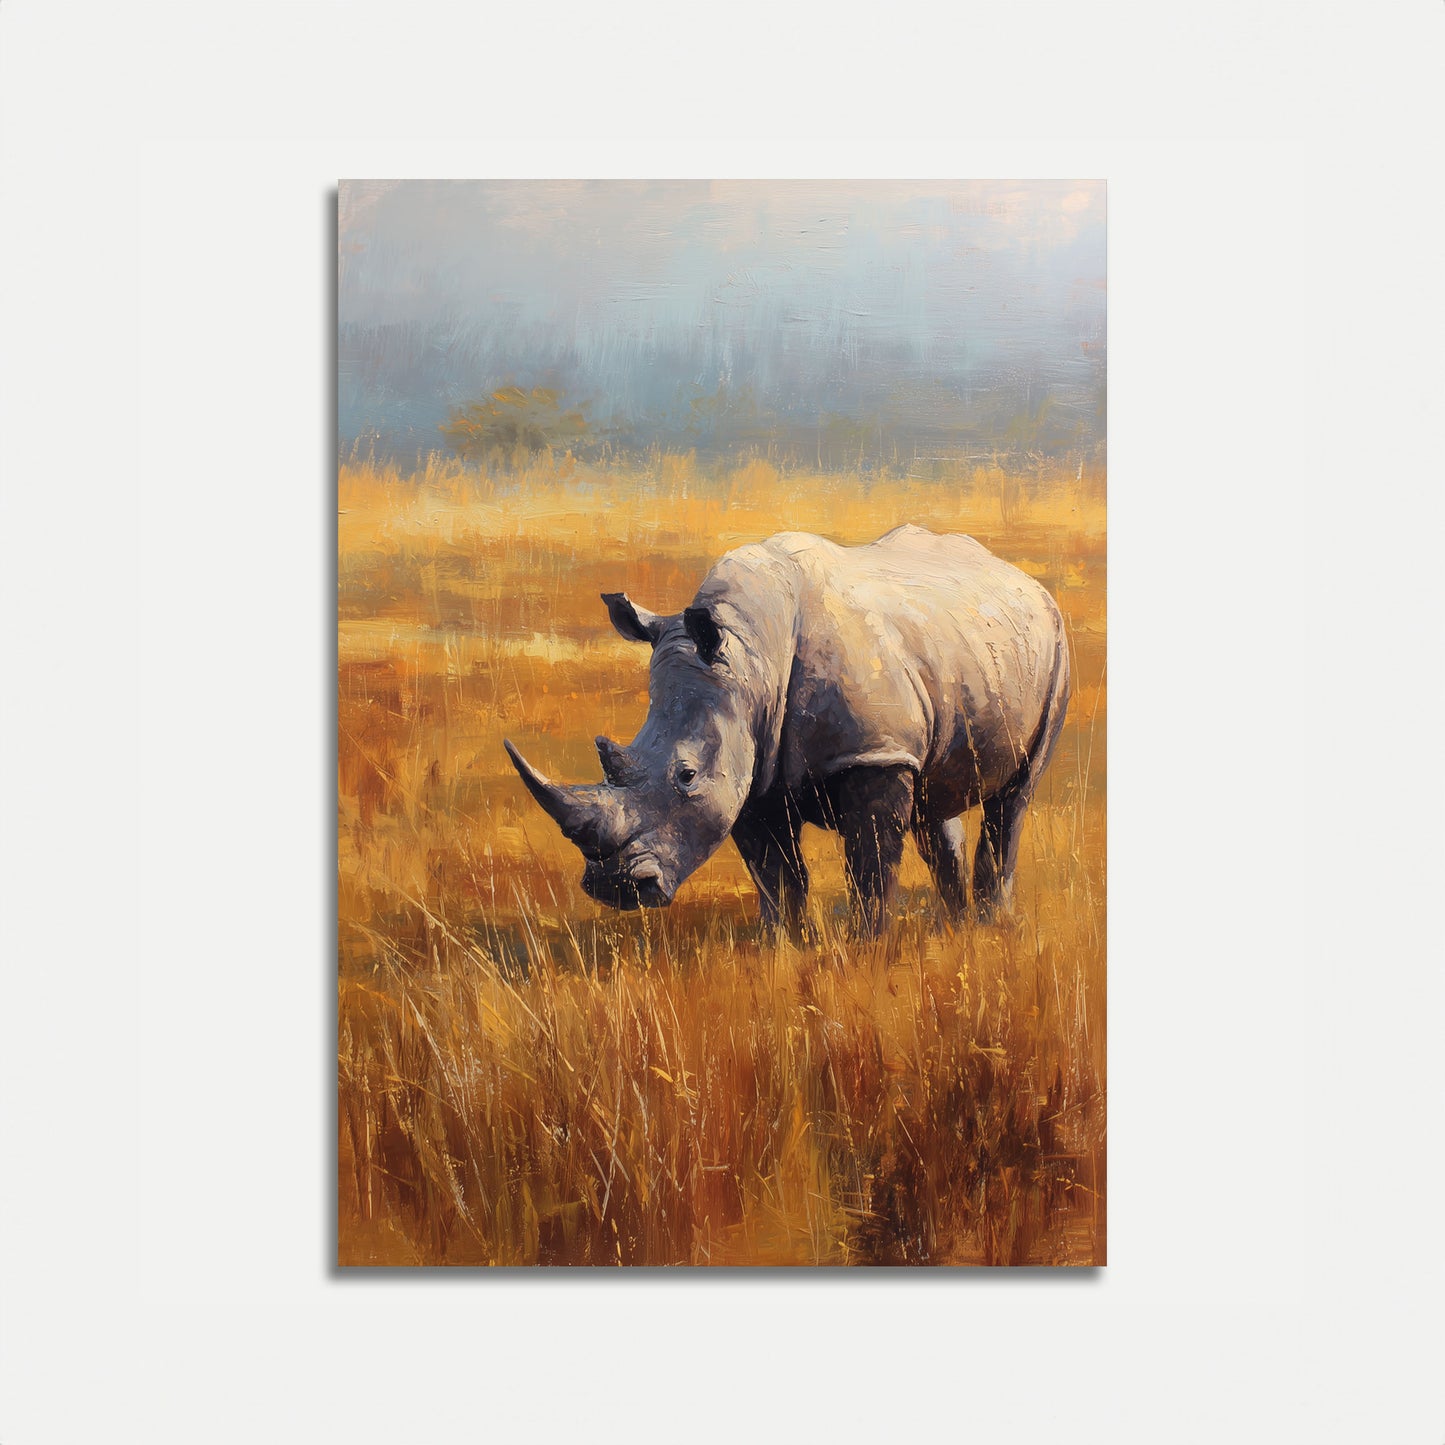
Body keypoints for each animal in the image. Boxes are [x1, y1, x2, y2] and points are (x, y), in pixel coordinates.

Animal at [504, 525, 1070, 935]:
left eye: (687, 775)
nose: (615, 888)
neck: (750, 656)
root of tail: (1024, 578)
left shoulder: (873, 753)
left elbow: (870, 865)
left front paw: (869, 950)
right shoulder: (751, 770)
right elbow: (776, 875)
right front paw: (785, 947)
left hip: (1055, 645)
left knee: (1014, 799)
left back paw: (991, 927)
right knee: (936, 798)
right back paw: (956, 928)